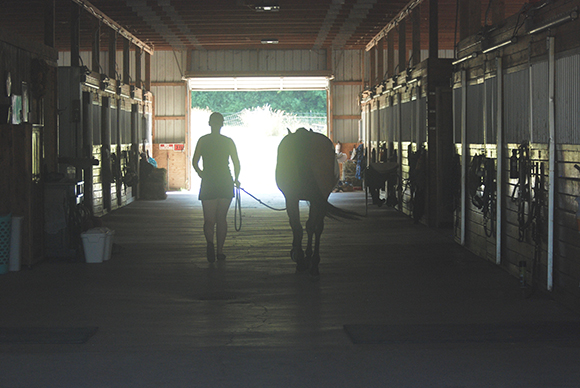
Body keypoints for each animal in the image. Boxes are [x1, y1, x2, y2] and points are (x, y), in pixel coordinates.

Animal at [276, 129, 354, 278]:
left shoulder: (292, 198)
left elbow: (298, 225)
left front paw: (300, 254)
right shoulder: (312, 199)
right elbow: (311, 226)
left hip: (296, 197)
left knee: (302, 226)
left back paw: (303, 261)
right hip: (316, 198)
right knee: (313, 227)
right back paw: (311, 263)